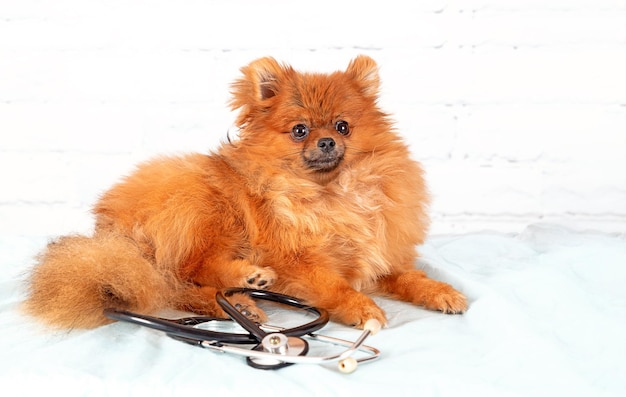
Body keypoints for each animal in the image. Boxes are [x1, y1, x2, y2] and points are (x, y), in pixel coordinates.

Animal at [24, 55, 464, 328]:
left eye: (342, 126)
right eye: (300, 130)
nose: (326, 142)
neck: (332, 193)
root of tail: (109, 230)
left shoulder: (380, 255)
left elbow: (410, 276)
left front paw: (441, 292)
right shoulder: (297, 261)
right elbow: (333, 286)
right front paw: (361, 307)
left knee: (173, 284)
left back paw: (238, 302)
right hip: (207, 208)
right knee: (184, 273)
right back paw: (245, 284)